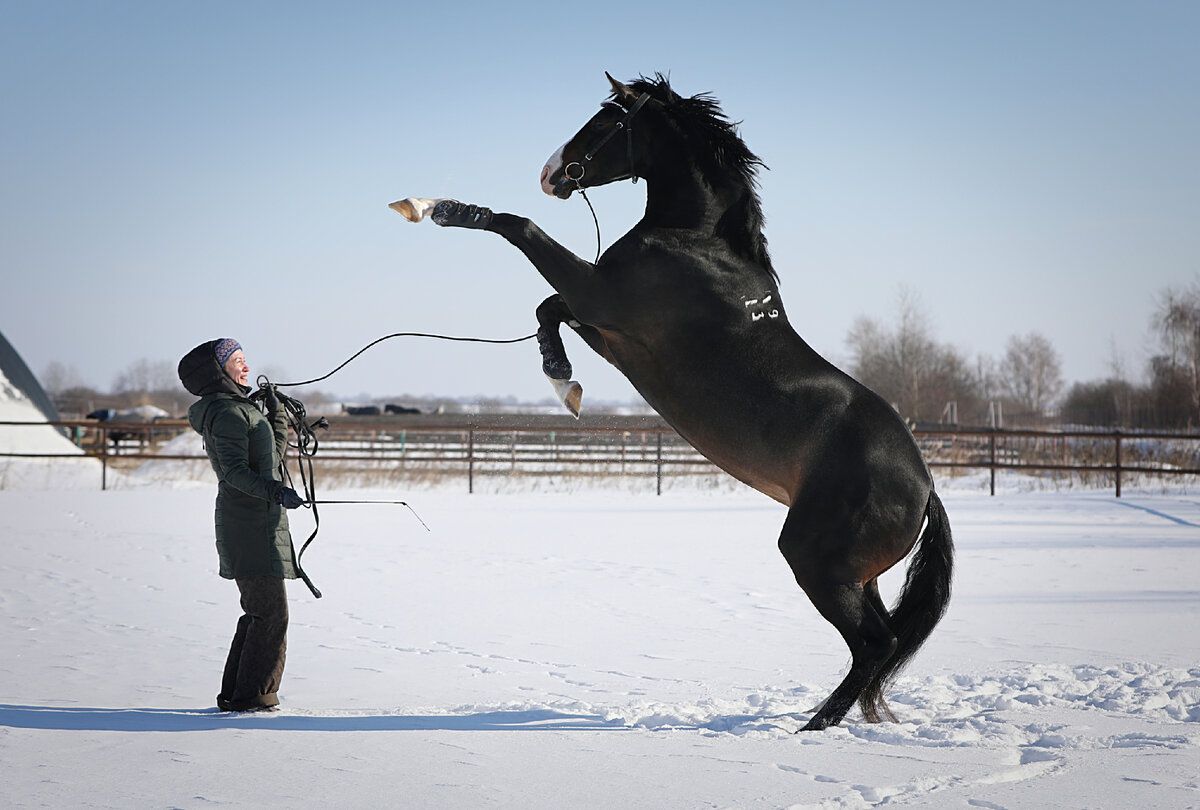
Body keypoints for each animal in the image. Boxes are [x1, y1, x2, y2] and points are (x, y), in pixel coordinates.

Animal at [398, 74, 950, 734]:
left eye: (607, 119)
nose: (551, 173)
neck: (695, 243)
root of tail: (924, 487)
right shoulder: (605, 324)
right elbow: (547, 308)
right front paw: (564, 383)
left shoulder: (602, 300)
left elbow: (520, 230)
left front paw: (434, 208)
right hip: (855, 575)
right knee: (879, 643)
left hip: (816, 562)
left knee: (875, 643)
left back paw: (808, 730)